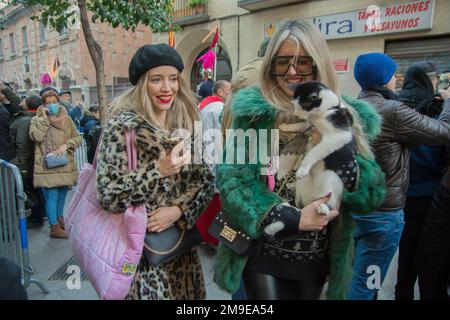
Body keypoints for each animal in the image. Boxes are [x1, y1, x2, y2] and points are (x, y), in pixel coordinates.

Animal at [264, 82, 358, 236]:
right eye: (295, 105)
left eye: (303, 105)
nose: (296, 114)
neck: (326, 111)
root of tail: (314, 198)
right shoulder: (310, 125)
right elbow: (302, 125)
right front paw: (287, 126)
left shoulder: (338, 136)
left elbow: (314, 152)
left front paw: (303, 169)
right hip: (301, 188)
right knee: (300, 205)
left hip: (331, 182)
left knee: (331, 205)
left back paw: (323, 209)